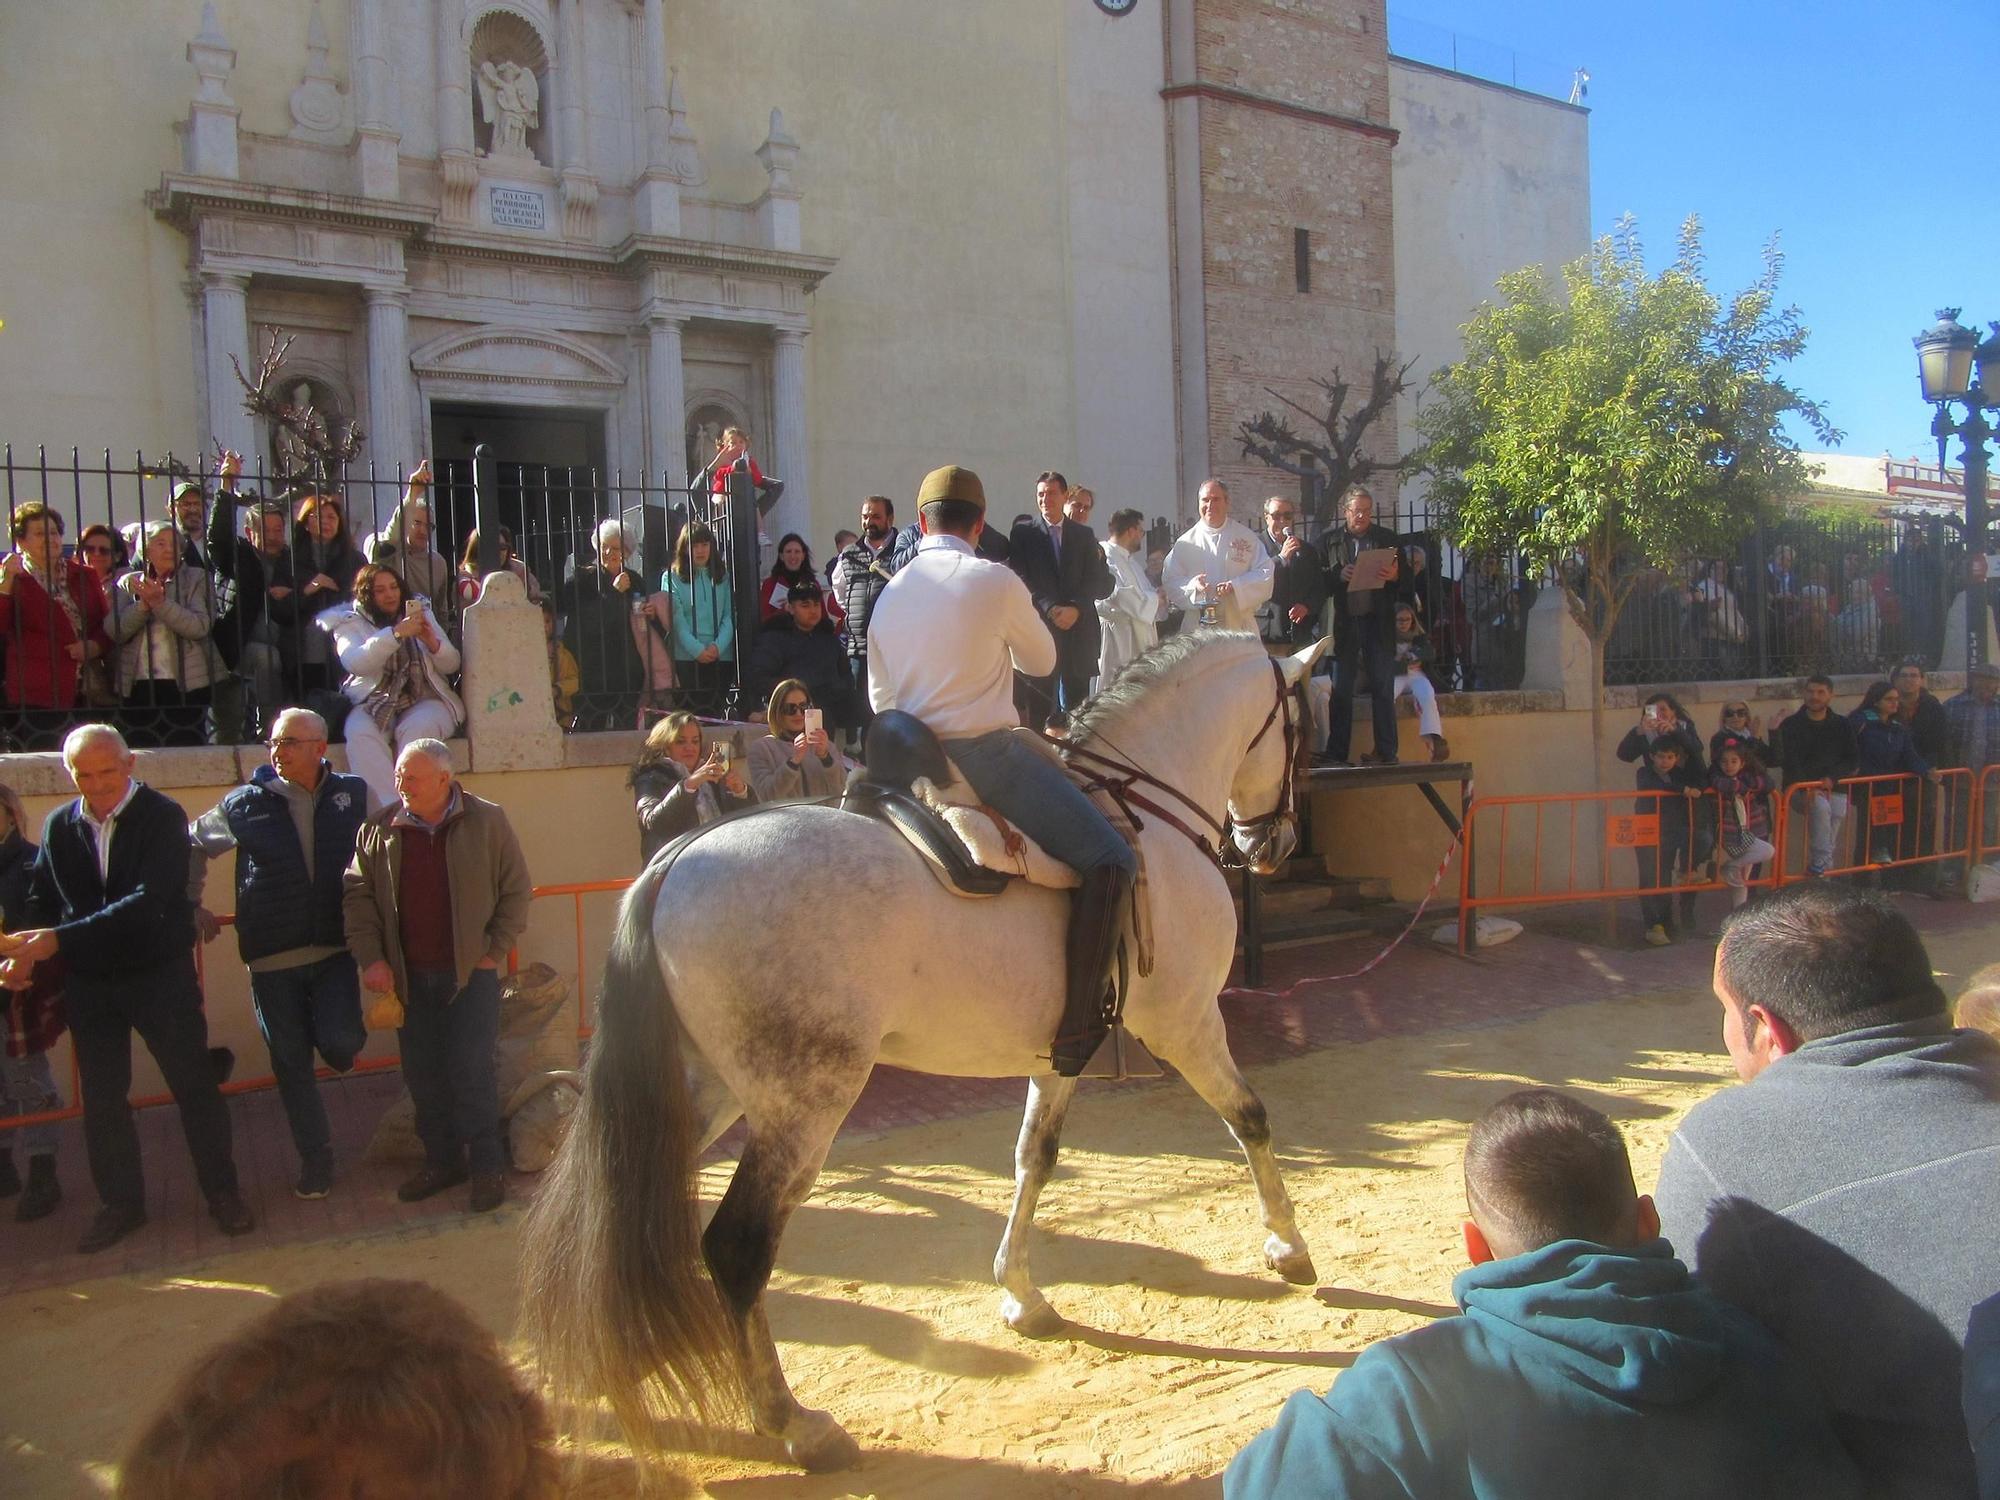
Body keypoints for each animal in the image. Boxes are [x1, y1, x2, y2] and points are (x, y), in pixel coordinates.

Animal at [520, 628, 1328, 1472]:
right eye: (1304, 730)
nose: (1275, 843)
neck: (1150, 813)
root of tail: (675, 861)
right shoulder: (1187, 1024)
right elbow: (1251, 1118)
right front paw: (1289, 1245)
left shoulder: (1061, 1053)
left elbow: (1034, 1159)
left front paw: (1021, 1294)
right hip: (802, 1105)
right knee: (737, 1246)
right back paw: (793, 1421)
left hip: (698, 1091)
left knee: (622, 1220)